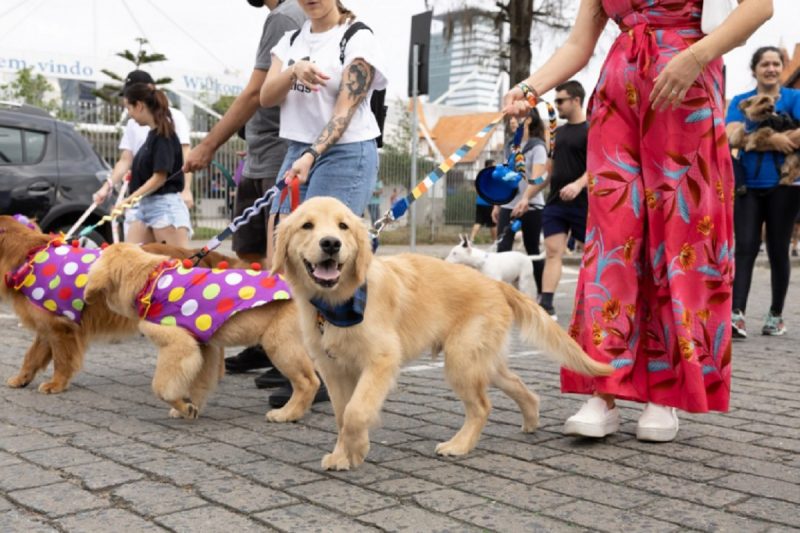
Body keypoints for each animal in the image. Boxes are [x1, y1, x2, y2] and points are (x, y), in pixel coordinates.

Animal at [0, 214, 236, 392]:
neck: (29, 256)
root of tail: (192, 253)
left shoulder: (61, 328)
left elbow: (61, 360)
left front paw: (56, 384)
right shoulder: (47, 326)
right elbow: (31, 356)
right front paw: (22, 378)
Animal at [83, 243, 318, 422]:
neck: (150, 281)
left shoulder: (179, 346)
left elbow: (162, 387)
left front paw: (182, 406)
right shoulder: (204, 347)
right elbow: (198, 383)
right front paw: (190, 408)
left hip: (279, 343)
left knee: (309, 382)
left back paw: (287, 413)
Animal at [272, 196, 616, 470]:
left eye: (343, 226)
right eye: (306, 226)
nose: (331, 243)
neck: (338, 303)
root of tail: (495, 284)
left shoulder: (381, 359)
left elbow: (356, 411)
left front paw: (356, 450)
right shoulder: (334, 369)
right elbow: (343, 415)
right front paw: (344, 454)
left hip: (461, 359)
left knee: (482, 407)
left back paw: (459, 445)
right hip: (481, 359)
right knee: (520, 386)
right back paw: (530, 420)